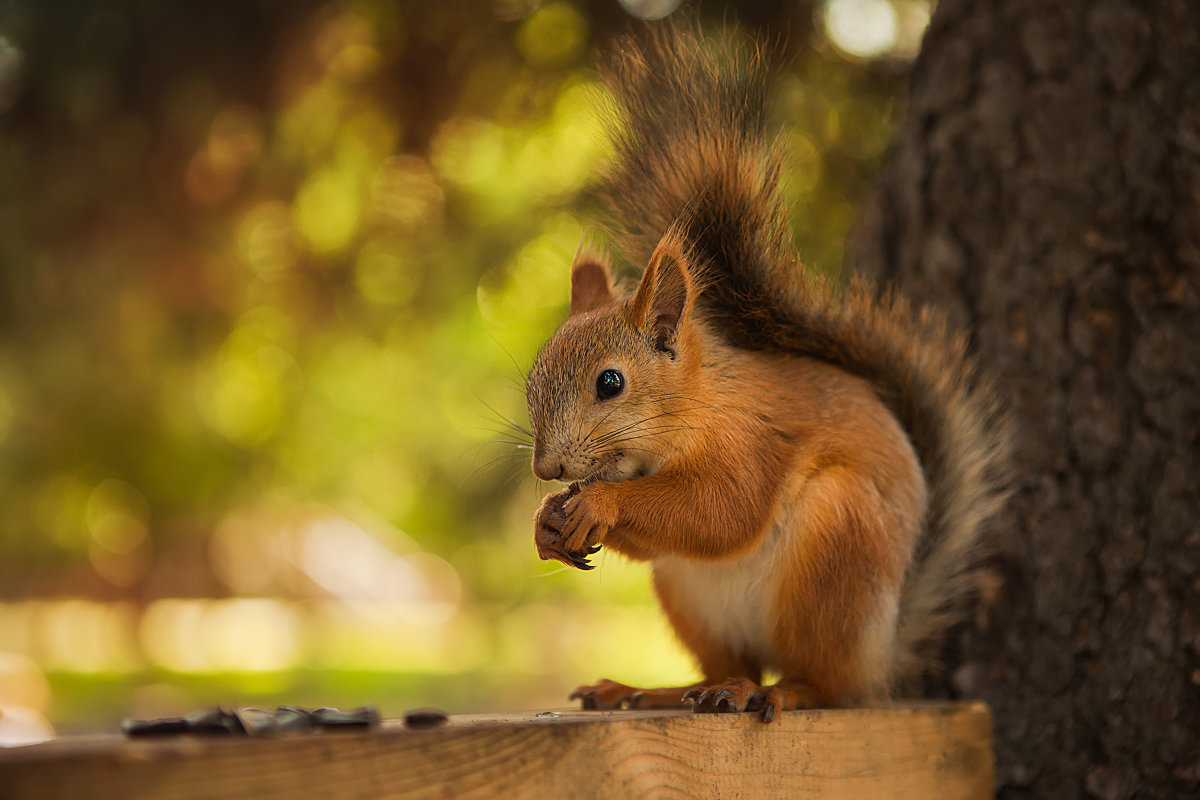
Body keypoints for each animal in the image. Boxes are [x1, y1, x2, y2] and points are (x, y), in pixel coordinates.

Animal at [530, 21, 1008, 724]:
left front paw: (599, 503)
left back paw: (771, 692)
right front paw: (548, 520)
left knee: (821, 684)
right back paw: (656, 689)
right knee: (727, 662)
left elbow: (723, 510)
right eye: (533, 378)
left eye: (610, 383)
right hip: (689, 597)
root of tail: (880, 655)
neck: (697, 404)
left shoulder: (752, 438)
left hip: (836, 546)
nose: (547, 469)